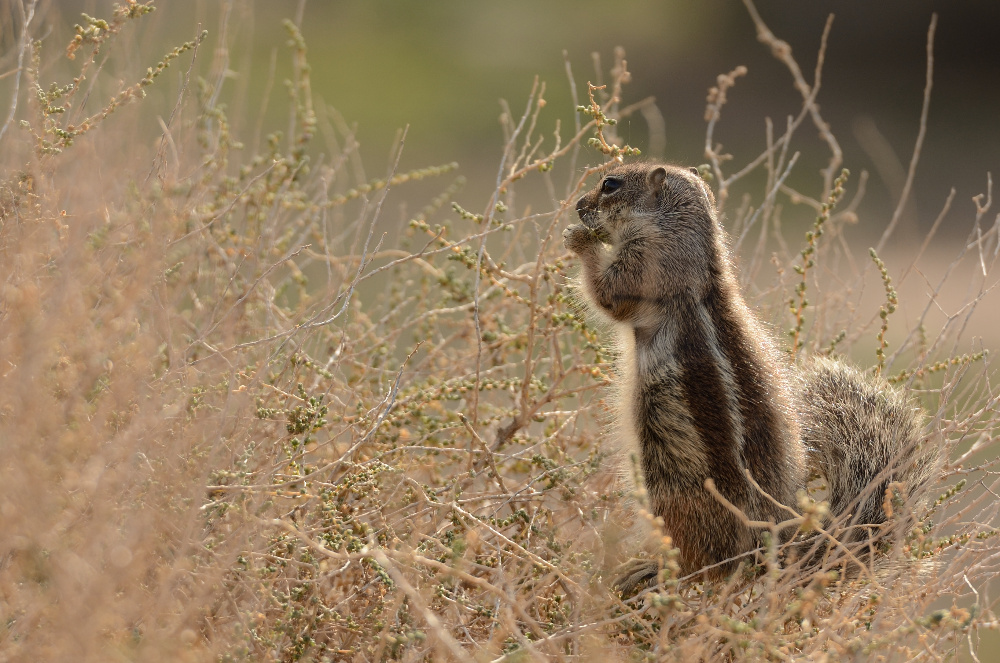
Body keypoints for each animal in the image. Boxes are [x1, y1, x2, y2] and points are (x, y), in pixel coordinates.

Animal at [564, 162, 936, 592]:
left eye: (610, 185)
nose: (578, 206)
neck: (680, 234)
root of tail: (768, 547)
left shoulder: (643, 266)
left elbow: (607, 294)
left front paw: (578, 240)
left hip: (669, 491)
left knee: (703, 563)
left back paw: (652, 569)